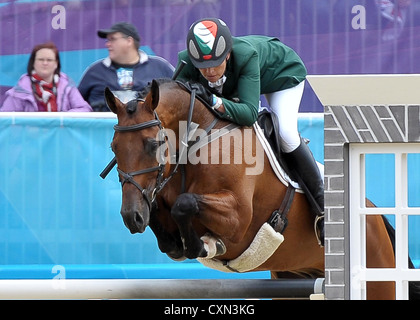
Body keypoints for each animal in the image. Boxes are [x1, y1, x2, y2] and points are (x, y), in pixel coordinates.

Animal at [104, 80, 416, 300]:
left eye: (153, 144)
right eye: (114, 147)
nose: (131, 217)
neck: (197, 141)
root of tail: (376, 216)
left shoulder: (238, 219)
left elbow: (186, 204)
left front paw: (204, 245)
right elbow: (166, 226)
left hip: (378, 278)